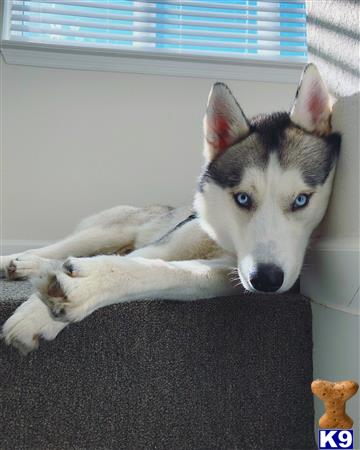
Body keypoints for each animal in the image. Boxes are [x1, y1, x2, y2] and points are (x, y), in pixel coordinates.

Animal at [1, 63, 340, 354]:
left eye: (301, 200)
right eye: (243, 198)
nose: (266, 280)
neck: (222, 239)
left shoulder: (231, 273)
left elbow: (164, 271)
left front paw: (73, 290)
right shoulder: (168, 244)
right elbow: (134, 261)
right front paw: (38, 309)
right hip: (110, 230)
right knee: (67, 247)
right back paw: (19, 261)